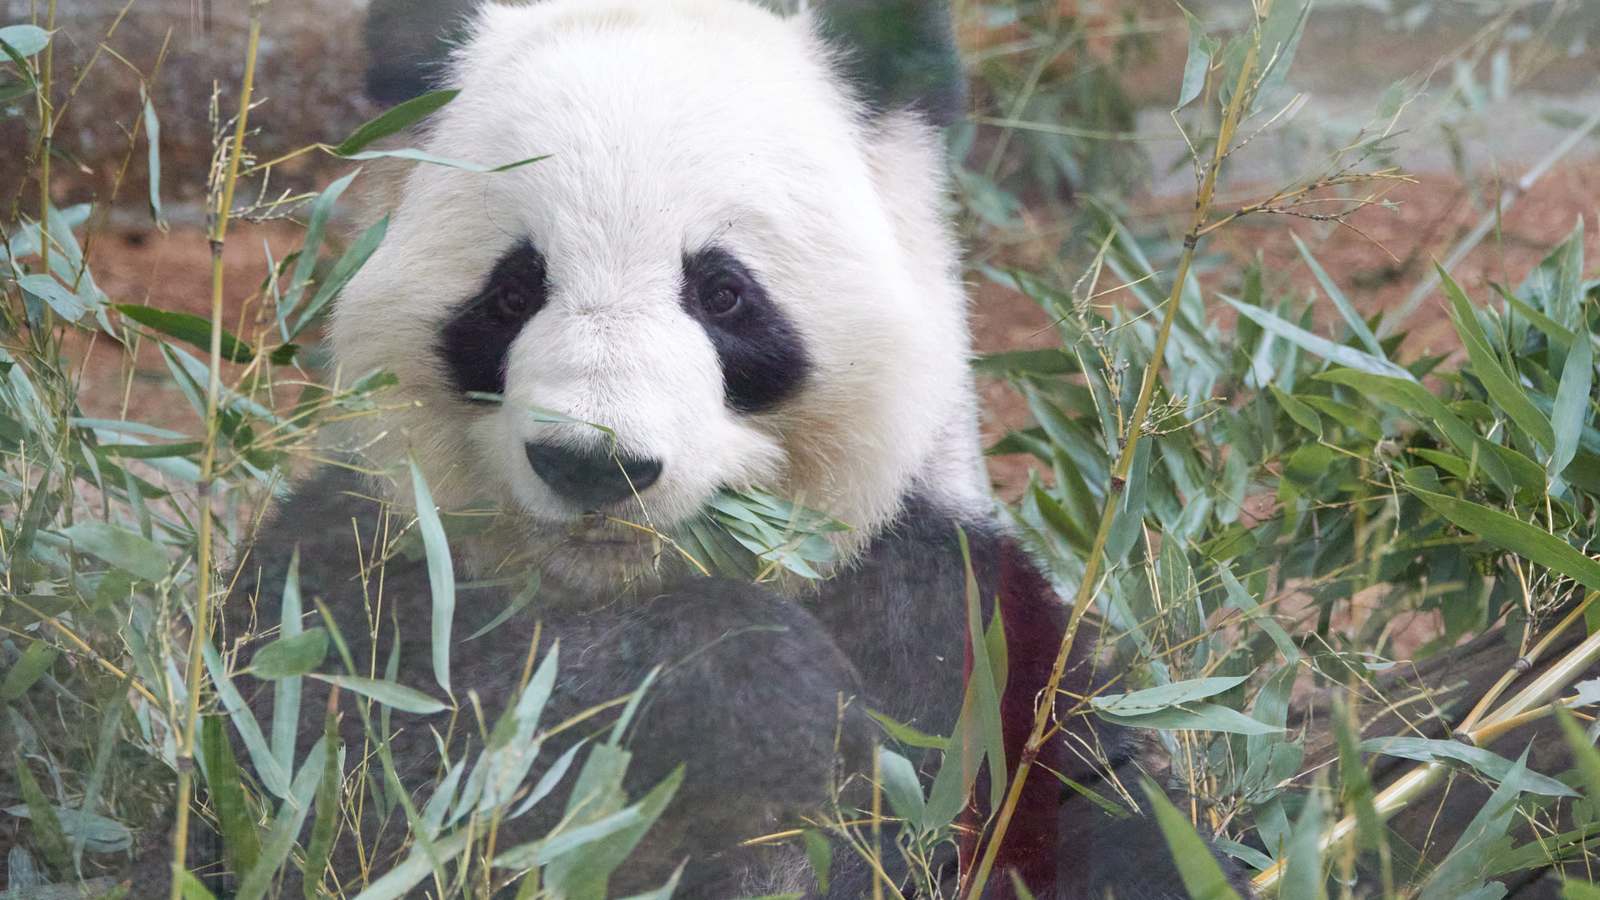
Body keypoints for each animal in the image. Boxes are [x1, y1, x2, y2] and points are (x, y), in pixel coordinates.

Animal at [212, 1, 1244, 897]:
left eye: (722, 294)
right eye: (511, 292)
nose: (595, 464)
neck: (622, 590)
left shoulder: (960, 635)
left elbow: (1085, 812)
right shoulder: (357, 576)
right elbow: (356, 767)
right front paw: (757, 685)